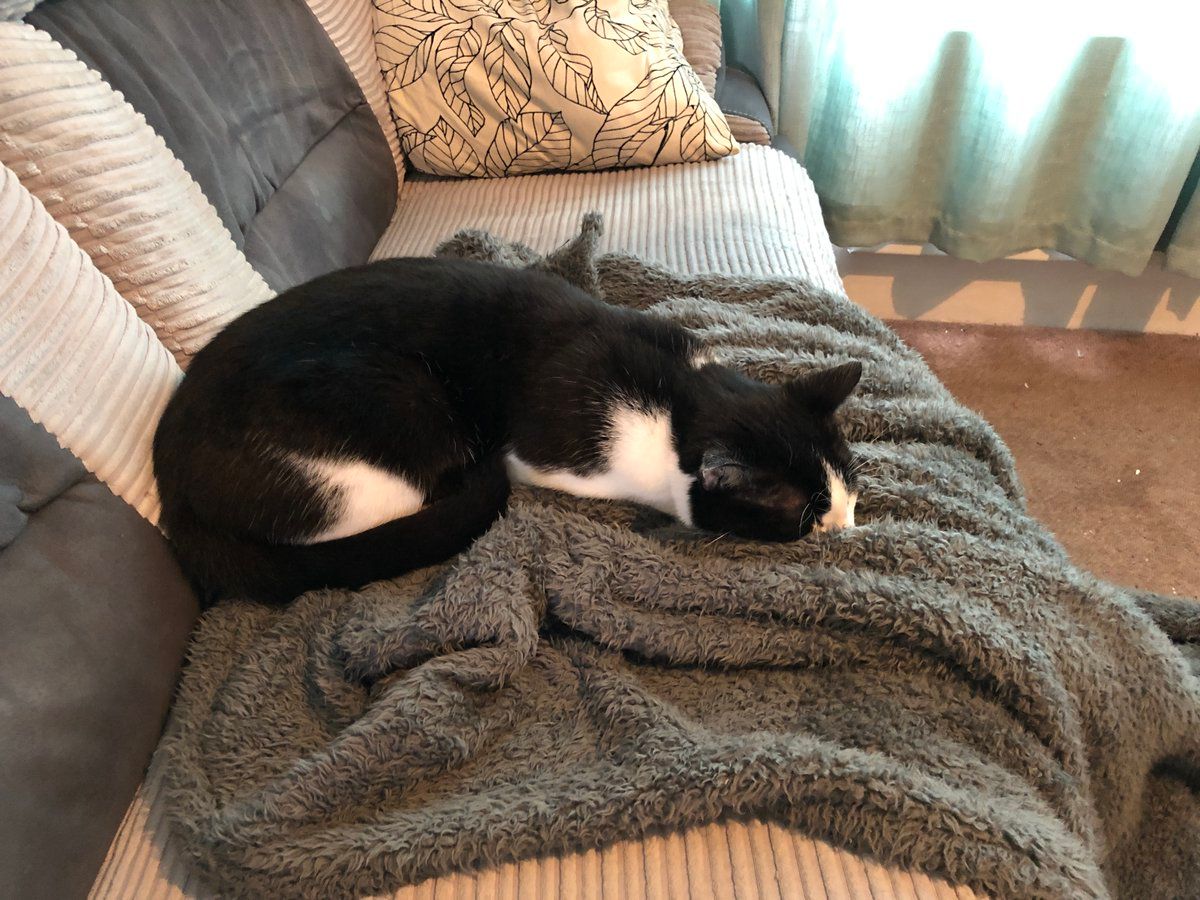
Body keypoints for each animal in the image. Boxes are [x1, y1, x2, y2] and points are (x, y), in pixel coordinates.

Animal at [153, 257, 863, 604]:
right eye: (806, 514)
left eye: (852, 491)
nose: (847, 529)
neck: (678, 395)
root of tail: (171, 489)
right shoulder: (551, 449)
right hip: (401, 411)